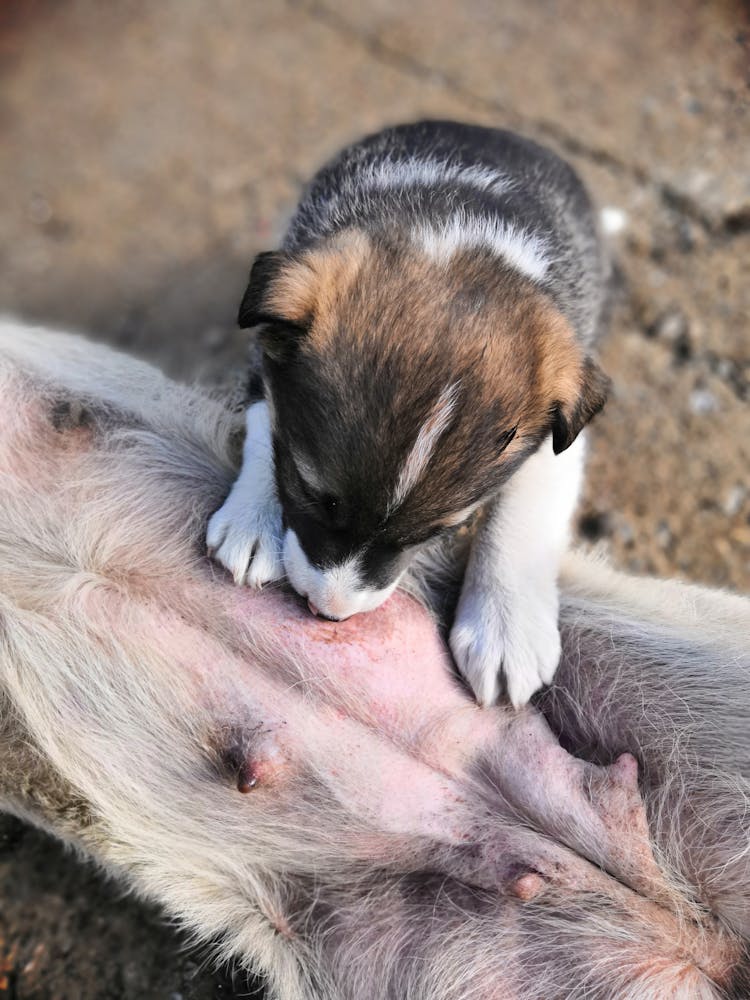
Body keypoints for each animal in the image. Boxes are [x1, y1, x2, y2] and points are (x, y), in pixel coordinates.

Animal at [207, 121, 612, 708]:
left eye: (444, 530)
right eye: (311, 492)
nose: (330, 614)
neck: (455, 236)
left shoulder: (558, 442)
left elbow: (523, 512)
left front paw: (505, 628)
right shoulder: (265, 354)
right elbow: (267, 422)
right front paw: (252, 519)